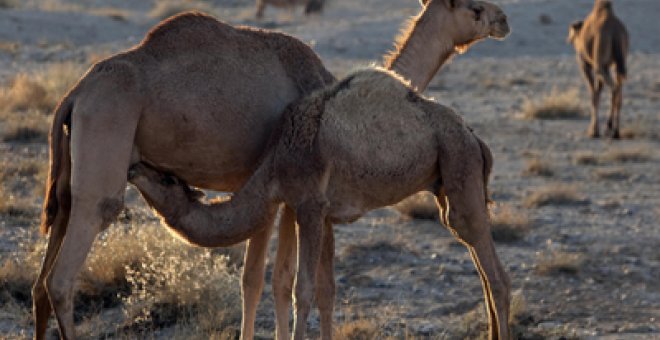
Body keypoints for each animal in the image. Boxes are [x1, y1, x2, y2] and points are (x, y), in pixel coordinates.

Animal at [129, 67, 510, 340]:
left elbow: (304, 289)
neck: (276, 161)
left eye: (166, 179)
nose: (133, 167)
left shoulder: (309, 207)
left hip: (459, 161)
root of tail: (475, 138)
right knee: (479, 264)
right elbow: (325, 290)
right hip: (448, 181)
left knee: (496, 274)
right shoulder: (320, 212)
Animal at [568, 0, 628, 139]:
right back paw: (616, 132)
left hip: (600, 64)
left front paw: (593, 131)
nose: (569, 39)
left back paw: (609, 126)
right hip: (619, 63)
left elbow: (593, 93)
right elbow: (598, 91)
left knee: (614, 89)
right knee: (619, 90)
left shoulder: (585, 63)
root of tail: (615, 33)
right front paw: (595, 130)